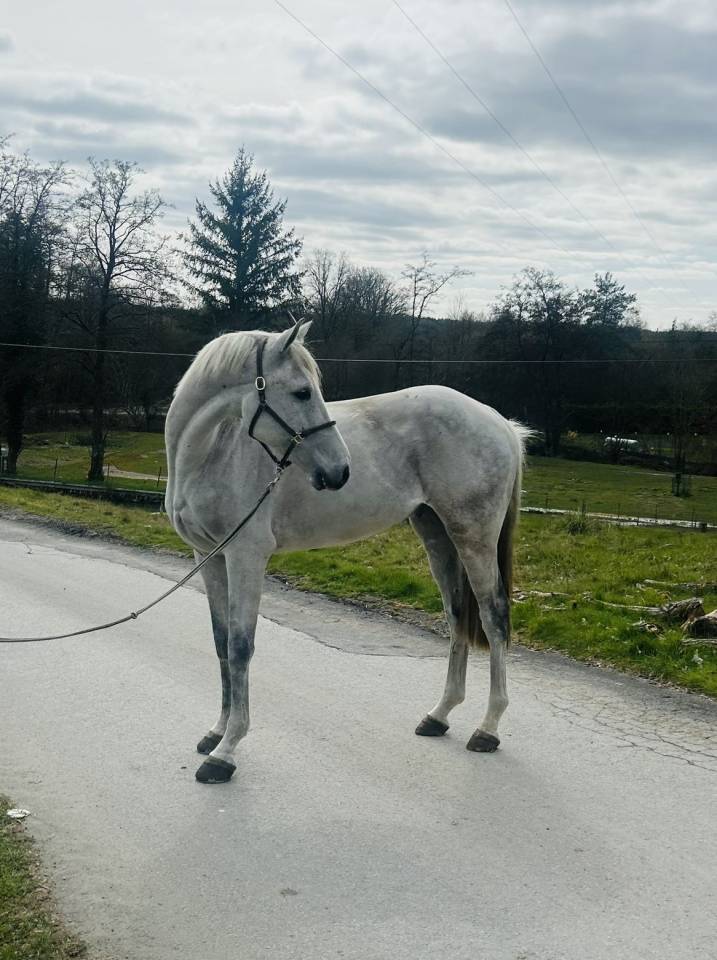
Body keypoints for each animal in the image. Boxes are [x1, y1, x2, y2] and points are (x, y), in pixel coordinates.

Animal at [165, 321, 529, 783]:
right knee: (456, 615)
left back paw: (488, 728)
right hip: (437, 534)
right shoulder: (208, 556)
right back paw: (439, 715)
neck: (213, 452)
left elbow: (241, 647)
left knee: (493, 615)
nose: (340, 470)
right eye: (303, 392)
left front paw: (226, 751)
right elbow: (221, 642)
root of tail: (500, 423)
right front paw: (215, 733)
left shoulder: (246, 556)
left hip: (474, 536)